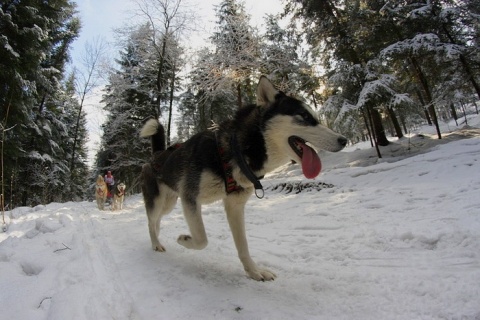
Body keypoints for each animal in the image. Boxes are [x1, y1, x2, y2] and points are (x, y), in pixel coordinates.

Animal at [139, 76, 344, 282]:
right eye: (304, 116)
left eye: (315, 117)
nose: (343, 140)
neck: (236, 150)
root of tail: (156, 155)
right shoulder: (190, 197)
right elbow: (202, 239)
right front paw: (185, 240)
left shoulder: (235, 205)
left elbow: (243, 246)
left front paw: (254, 271)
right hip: (160, 201)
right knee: (150, 221)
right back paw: (155, 243)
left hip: (170, 202)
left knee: (156, 220)